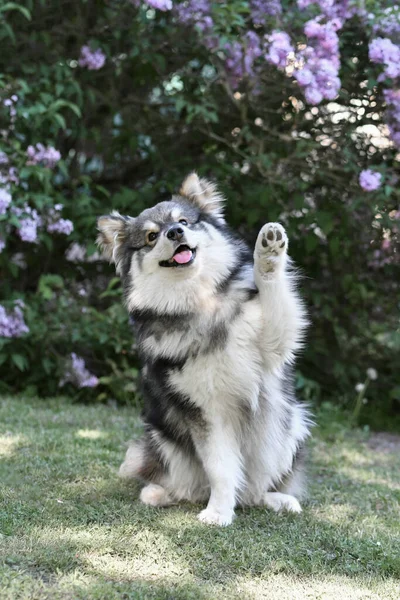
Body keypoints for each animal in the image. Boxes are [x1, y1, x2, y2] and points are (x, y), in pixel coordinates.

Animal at [97, 172, 312, 524]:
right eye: (151, 236)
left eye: (184, 221)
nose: (174, 233)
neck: (200, 301)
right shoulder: (206, 411)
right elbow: (220, 469)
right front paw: (219, 512)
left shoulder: (272, 342)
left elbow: (274, 294)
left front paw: (268, 252)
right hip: (158, 439)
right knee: (185, 486)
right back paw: (158, 494)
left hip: (291, 425)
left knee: (255, 491)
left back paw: (278, 500)